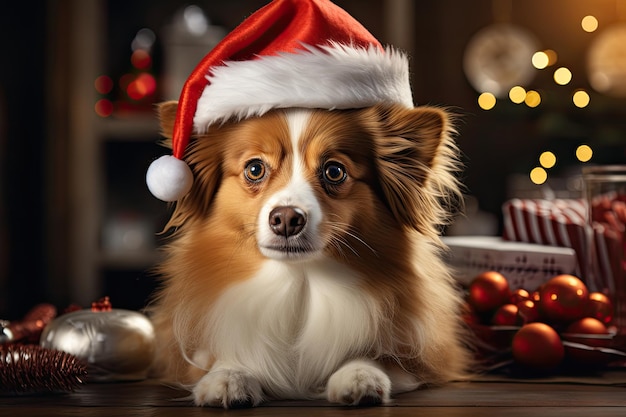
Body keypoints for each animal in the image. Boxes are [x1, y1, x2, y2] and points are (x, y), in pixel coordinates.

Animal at [147, 100, 468, 406]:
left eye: (334, 171)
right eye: (255, 169)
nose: (286, 218)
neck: (298, 280)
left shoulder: (428, 355)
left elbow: (381, 355)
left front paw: (360, 374)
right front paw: (227, 376)